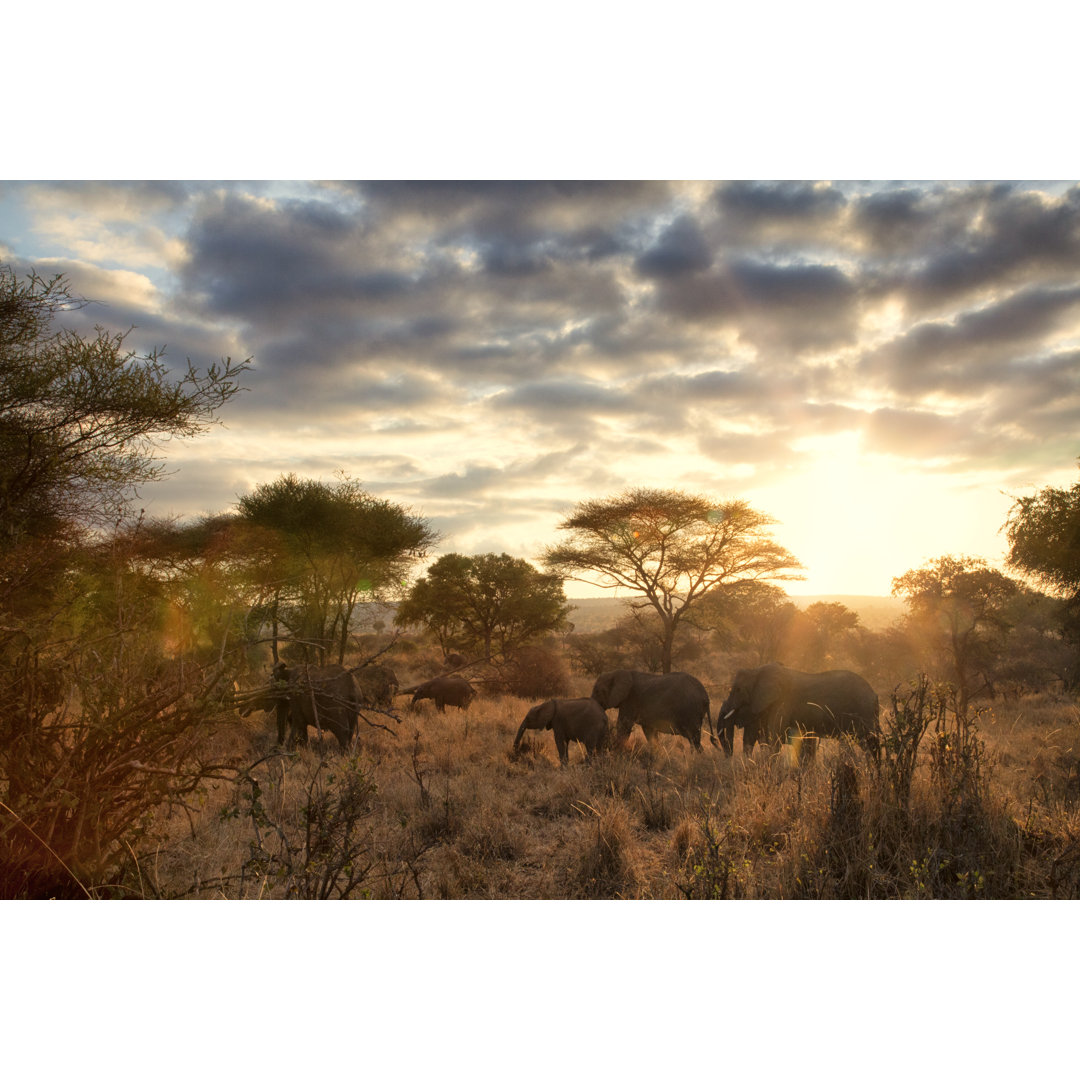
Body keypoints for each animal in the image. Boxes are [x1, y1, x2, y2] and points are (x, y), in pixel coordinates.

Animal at [717, 660, 876, 756]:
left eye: (737, 690)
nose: (728, 757)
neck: (756, 670)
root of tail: (873, 693)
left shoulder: (783, 702)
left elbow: (774, 738)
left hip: (864, 711)